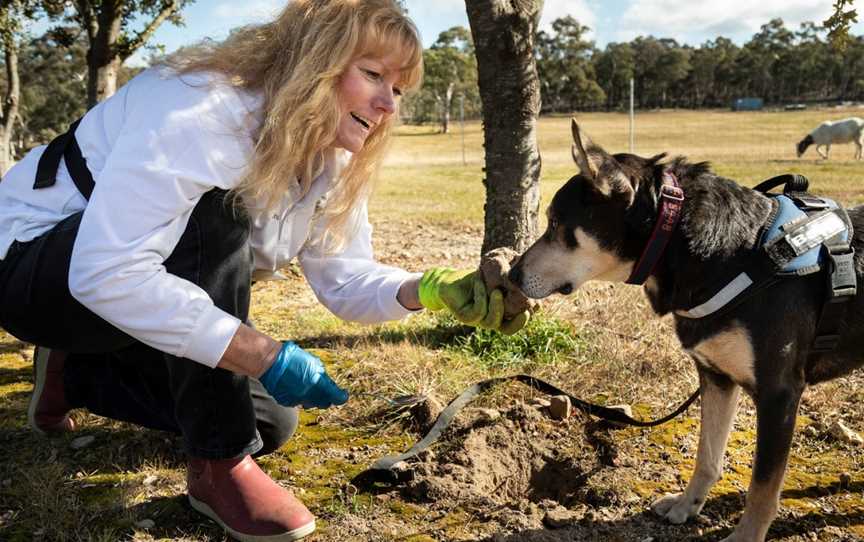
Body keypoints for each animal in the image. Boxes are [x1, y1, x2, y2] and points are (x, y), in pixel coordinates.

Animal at [506, 120, 864, 542]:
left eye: (556, 225)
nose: (511, 275)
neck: (729, 254)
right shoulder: (715, 376)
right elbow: (707, 455)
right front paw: (686, 505)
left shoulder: (779, 393)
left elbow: (762, 486)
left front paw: (745, 536)